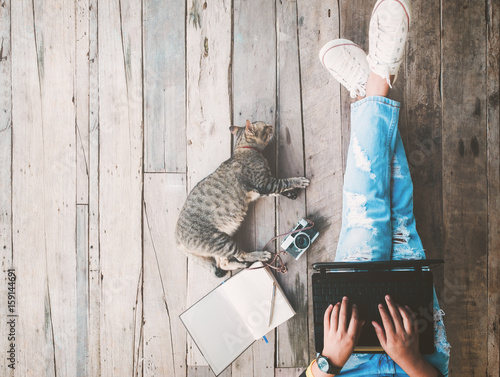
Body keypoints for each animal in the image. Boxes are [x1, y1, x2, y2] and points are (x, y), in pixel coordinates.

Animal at [175, 120, 308, 276]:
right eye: (265, 127)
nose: (271, 125)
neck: (244, 149)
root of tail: (177, 238)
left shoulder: (262, 189)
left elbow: (279, 190)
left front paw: (291, 193)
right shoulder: (265, 183)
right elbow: (285, 182)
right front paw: (299, 182)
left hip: (220, 245)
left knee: (223, 263)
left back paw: (243, 265)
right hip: (221, 241)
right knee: (240, 254)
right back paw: (259, 255)